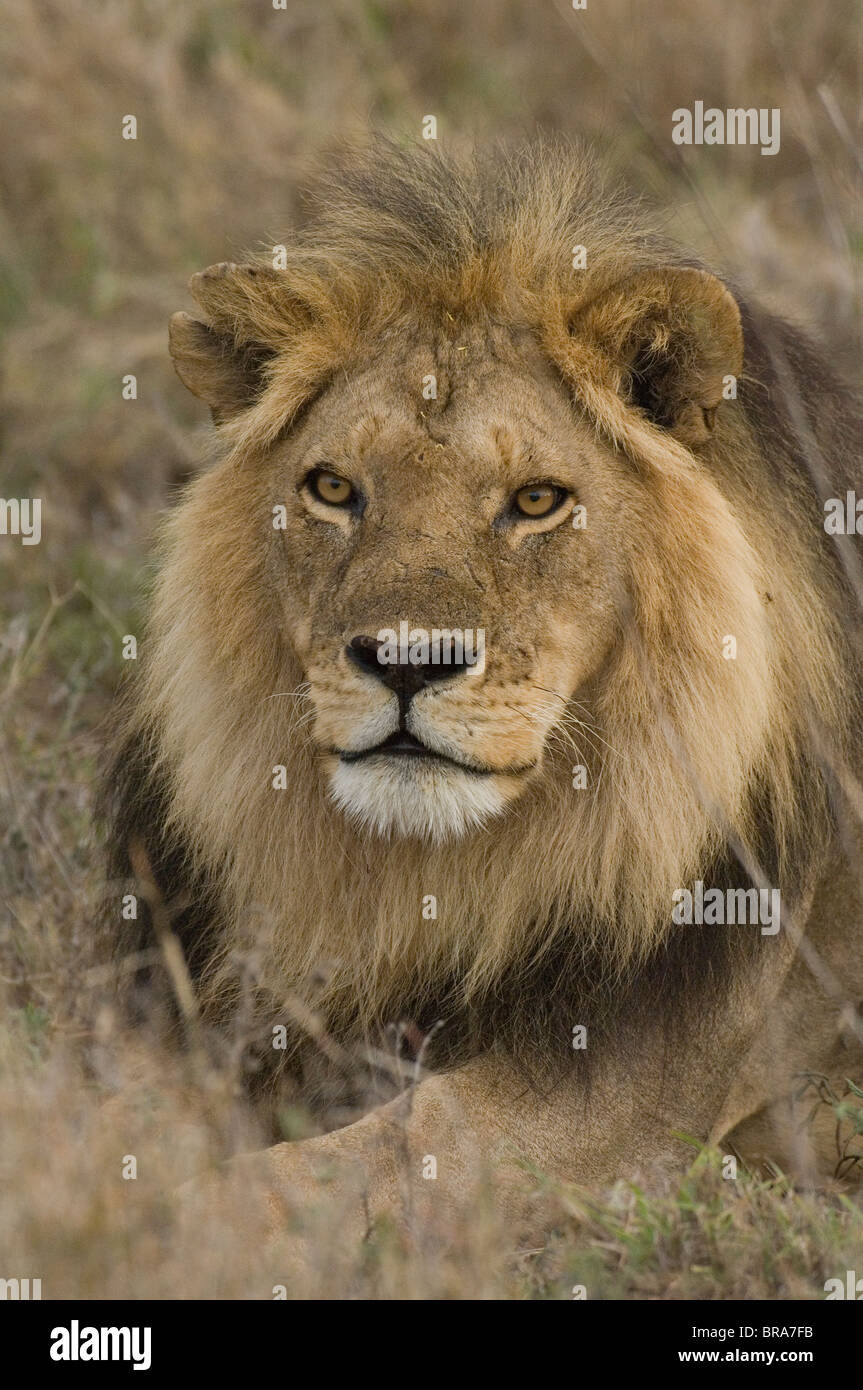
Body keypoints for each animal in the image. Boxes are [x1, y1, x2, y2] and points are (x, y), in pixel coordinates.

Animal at [104, 141, 861, 1245]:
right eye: (332, 489)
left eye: (535, 501)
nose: (407, 662)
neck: (442, 877)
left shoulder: (622, 1100)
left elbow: (367, 1154)